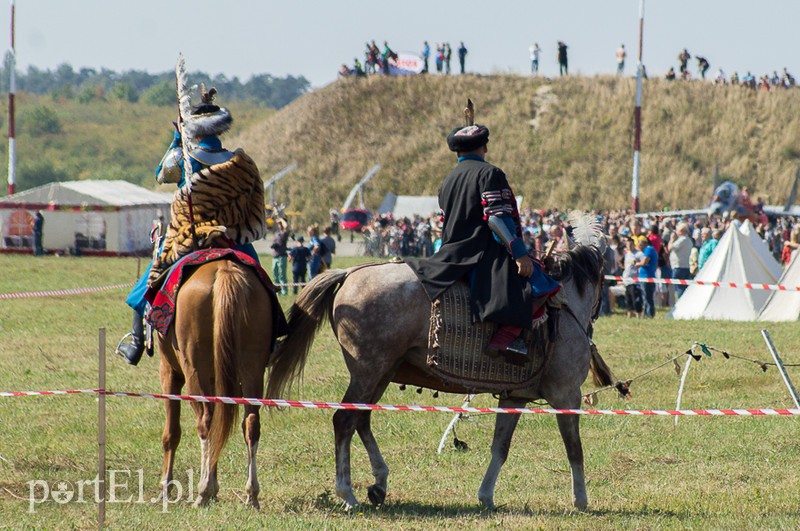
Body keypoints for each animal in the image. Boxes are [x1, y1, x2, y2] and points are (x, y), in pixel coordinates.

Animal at [158, 260, 274, 510]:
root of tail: (224, 272)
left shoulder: (169, 373)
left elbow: (171, 433)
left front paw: (165, 487)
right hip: (252, 369)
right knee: (251, 424)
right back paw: (251, 494)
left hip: (194, 372)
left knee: (205, 423)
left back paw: (203, 490)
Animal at [266, 244, 616, 512]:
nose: (598, 315)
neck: (564, 307)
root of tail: (351, 272)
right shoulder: (566, 395)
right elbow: (574, 448)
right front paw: (580, 500)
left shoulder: (513, 397)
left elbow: (500, 448)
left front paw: (486, 496)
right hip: (369, 371)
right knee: (344, 420)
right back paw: (347, 493)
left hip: (380, 372)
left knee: (360, 420)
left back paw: (379, 483)